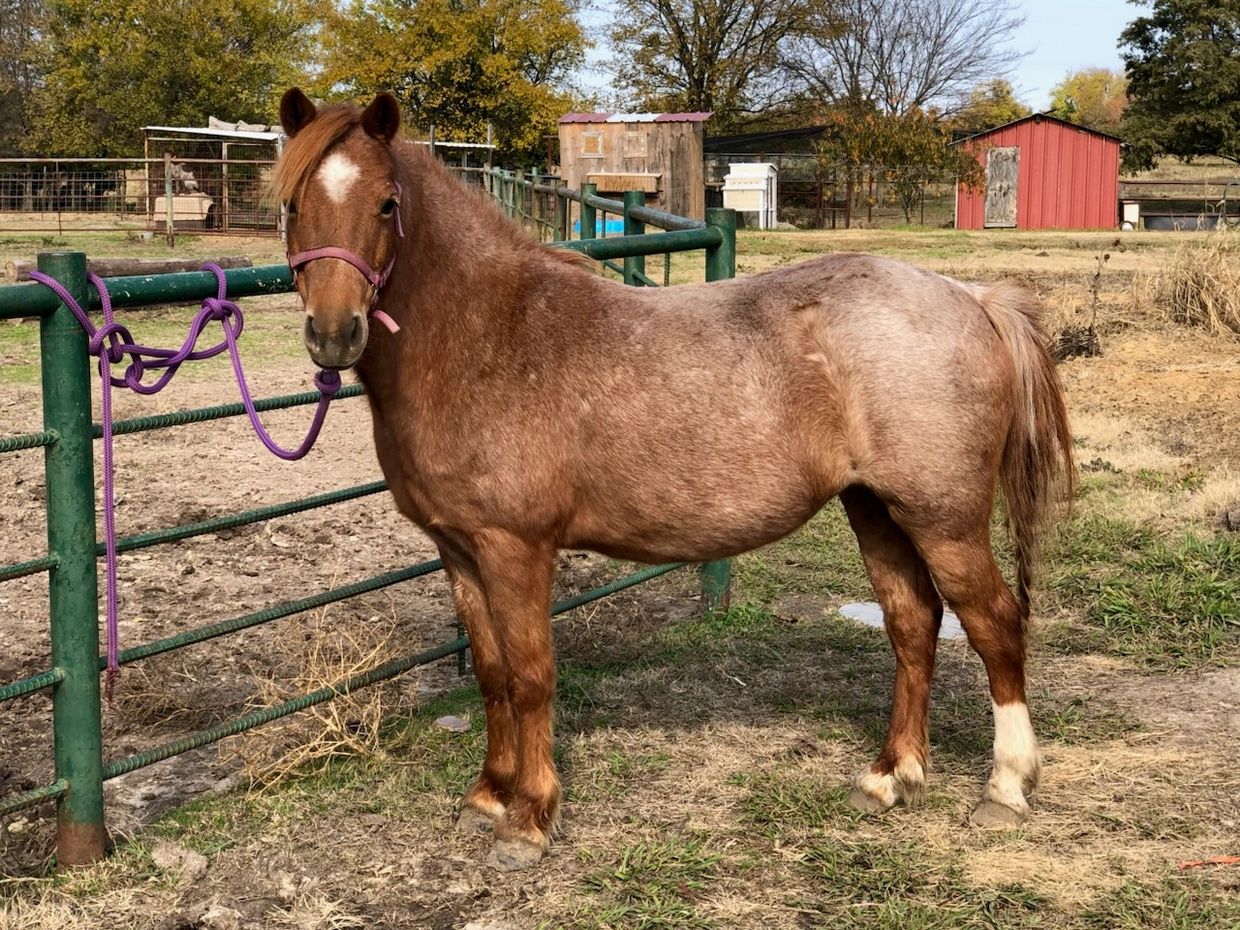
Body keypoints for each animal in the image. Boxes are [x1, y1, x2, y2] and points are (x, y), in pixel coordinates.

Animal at [272, 88, 1074, 871]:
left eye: (386, 204)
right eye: (292, 203)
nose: (334, 333)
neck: (487, 336)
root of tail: (972, 297)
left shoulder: (514, 548)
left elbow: (531, 676)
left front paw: (528, 820)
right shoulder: (459, 550)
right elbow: (493, 674)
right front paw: (488, 797)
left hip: (944, 518)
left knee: (994, 624)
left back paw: (1006, 787)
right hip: (875, 508)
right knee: (913, 623)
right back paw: (890, 776)